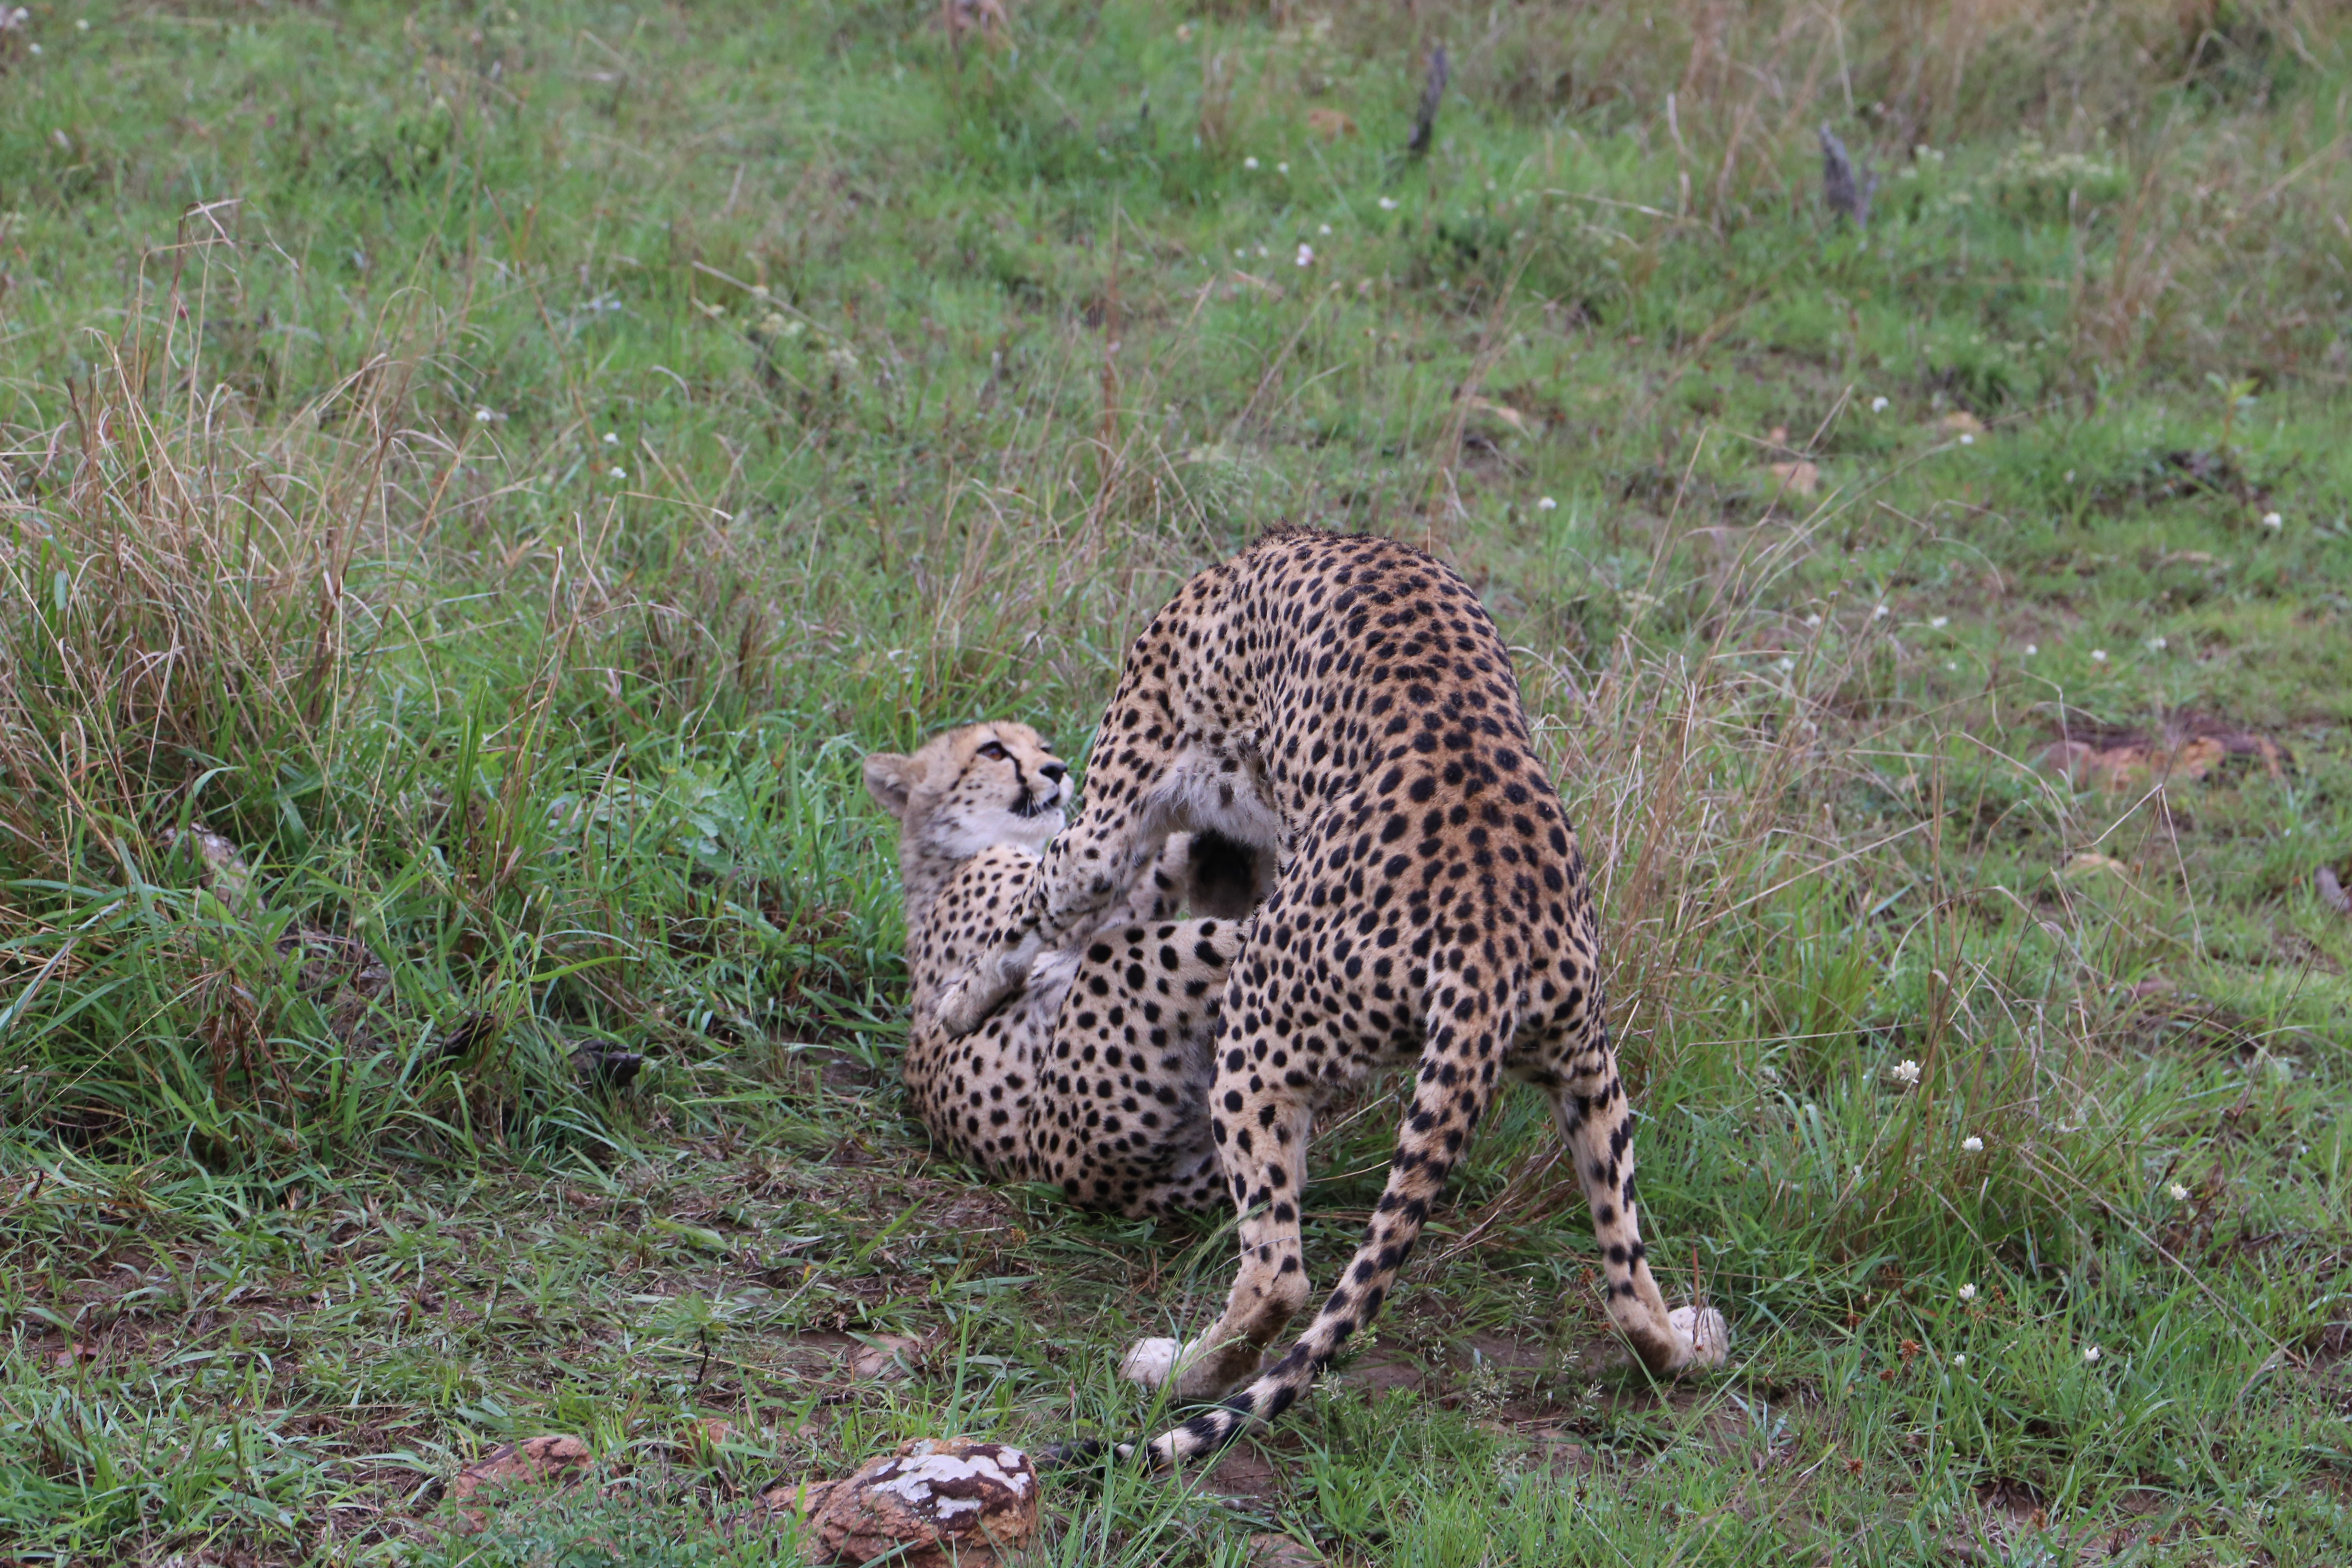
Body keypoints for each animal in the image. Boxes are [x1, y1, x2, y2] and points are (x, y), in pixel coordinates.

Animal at [865, 719, 1260, 1222]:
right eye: (993, 751)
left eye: (1043, 747)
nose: (1057, 769)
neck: (949, 857)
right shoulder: (1059, 932)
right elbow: (1125, 877)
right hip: (1118, 977)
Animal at [936, 531, 1731, 1476]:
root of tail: (1489, 945)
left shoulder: (1112, 817)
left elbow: (1047, 901)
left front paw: (962, 997)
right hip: (1589, 1073)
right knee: (1625, 1280)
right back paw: (1687, 1343)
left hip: (1257, 1034)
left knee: (1279, 1275)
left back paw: (1177, 1370)